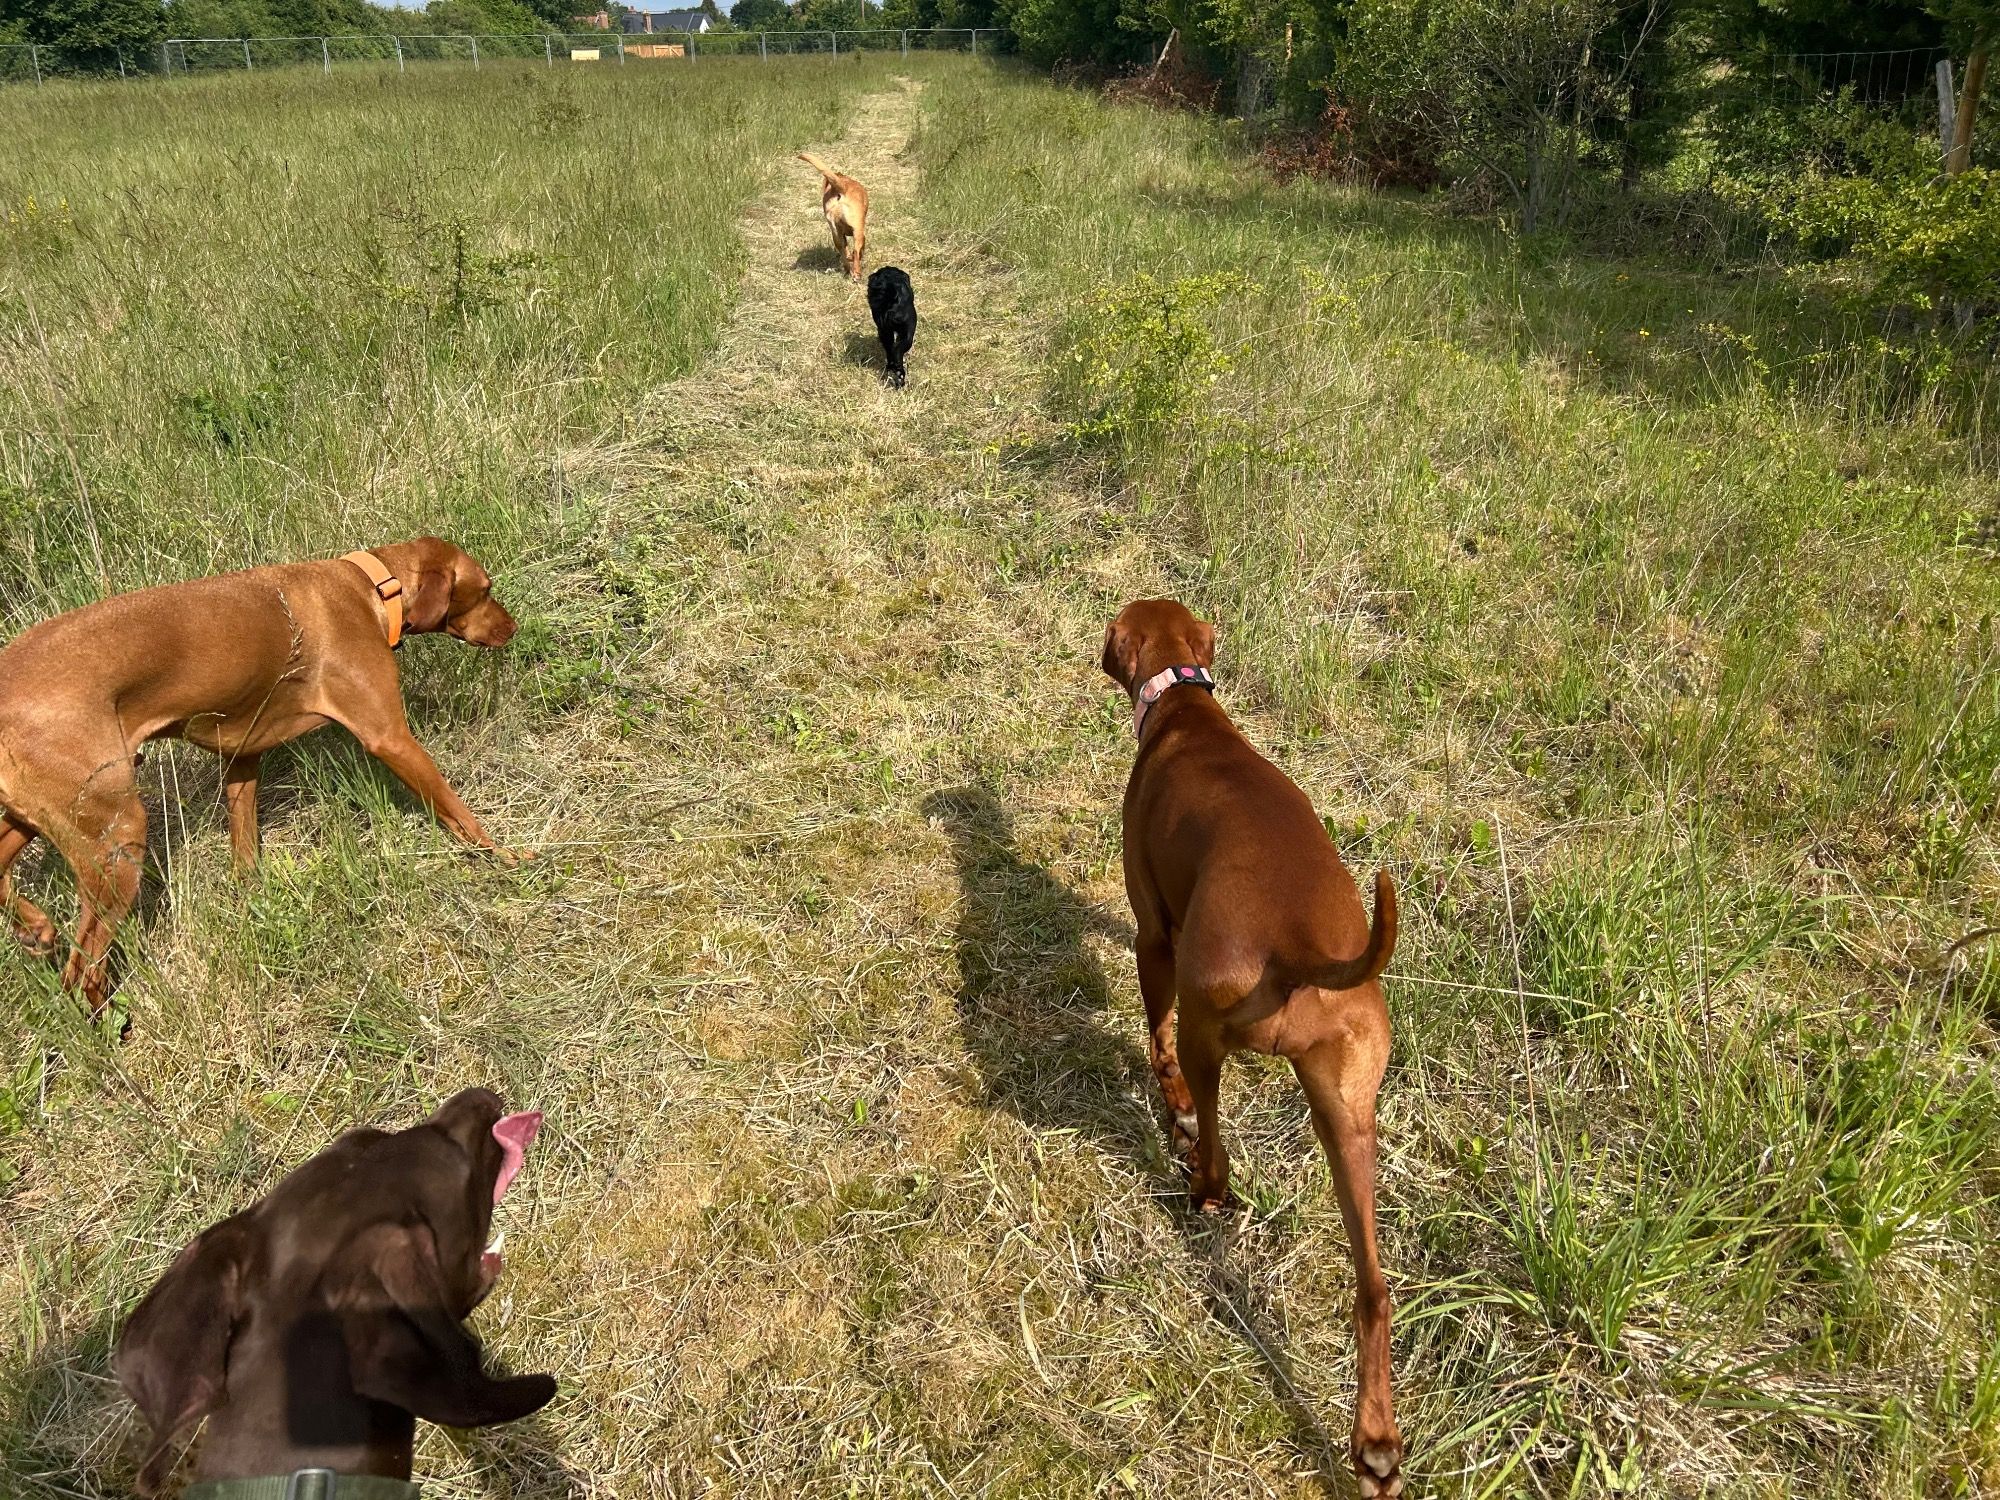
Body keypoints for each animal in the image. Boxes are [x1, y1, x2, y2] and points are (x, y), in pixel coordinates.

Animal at [0, 537, 524, 1019]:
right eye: (486, 589)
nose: (514, 627)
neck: (370, 586)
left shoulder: (242, 755)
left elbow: (245, 842)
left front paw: (251, 898)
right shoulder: (390, 737)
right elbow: (456, 810)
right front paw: (508, 857)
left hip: (43, 817)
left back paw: (36, 928)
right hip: (116, 836)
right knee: (81, 970)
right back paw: (113, 1027)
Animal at [1102, 599, 1403, 1497]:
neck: (1189, 713)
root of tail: (1298, 947)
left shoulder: (1152, 935)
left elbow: (1153, 1032)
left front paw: (1164, 1100)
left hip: (1210, 1032)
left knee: (1213, 1139)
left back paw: (1199, 1183)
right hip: (1349, 1115)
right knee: (1374, 1289)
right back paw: (1376, 1444)